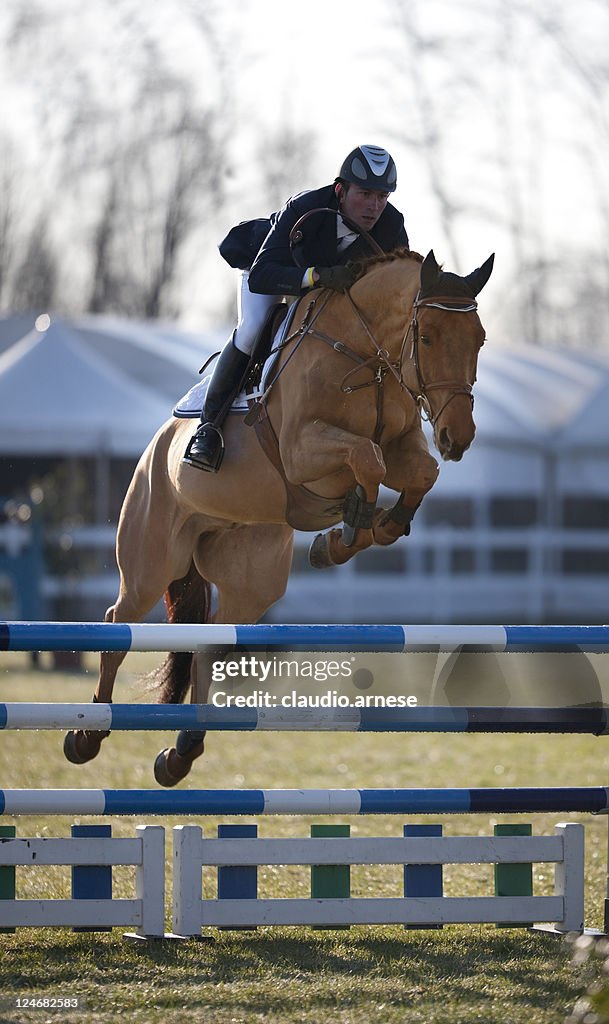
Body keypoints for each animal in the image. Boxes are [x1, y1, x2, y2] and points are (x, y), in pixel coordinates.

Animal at [64, 245, 495, 782]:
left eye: (479, 339)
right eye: (428, 335)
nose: (459, 437)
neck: (367, 353)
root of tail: (155, 448)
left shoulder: (403, 447)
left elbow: (420, 471)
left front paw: (362, 532)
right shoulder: (301, 450)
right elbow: (367, 460)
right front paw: (348, 529)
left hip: (252, 576)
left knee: (211, 641)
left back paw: (181, 753)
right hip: (150, 559)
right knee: (116, 624)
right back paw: (86, 736)